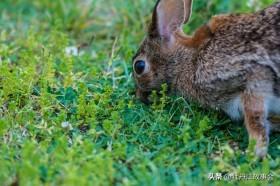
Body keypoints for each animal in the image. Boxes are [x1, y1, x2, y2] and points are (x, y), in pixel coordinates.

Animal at [132, 0, 280, 158]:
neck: (189, 60)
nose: (139, 96)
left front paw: (252, 152)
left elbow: (255, 120)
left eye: (139, 66)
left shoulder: (254, 75)